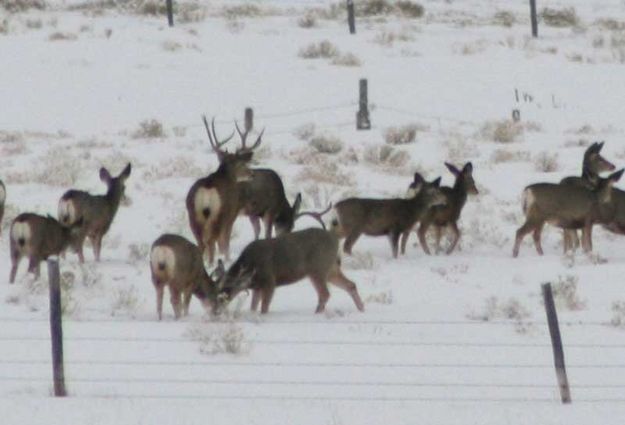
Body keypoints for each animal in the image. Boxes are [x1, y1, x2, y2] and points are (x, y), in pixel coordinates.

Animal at [185, 117, 258, 264]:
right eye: (242, 164)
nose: (252, 174)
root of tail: (206, 191)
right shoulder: (231, 215)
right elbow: (225, 243)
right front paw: (228, 259)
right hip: (219, 215)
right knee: (212, 241)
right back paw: (212, 263)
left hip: (193, 216)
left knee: (202, 244)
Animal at [213, 227, 364, 314]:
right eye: (218, 287)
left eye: (228, 288)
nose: (216, 309)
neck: (251, 265)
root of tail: (336, 240)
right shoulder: (258, 287)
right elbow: (253, 307)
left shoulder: (270, 281)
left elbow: (264, 308)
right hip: (331, 268)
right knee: (350, 285)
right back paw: (361, 308)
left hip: (318, 268)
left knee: (325, 293)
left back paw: (317, 313)